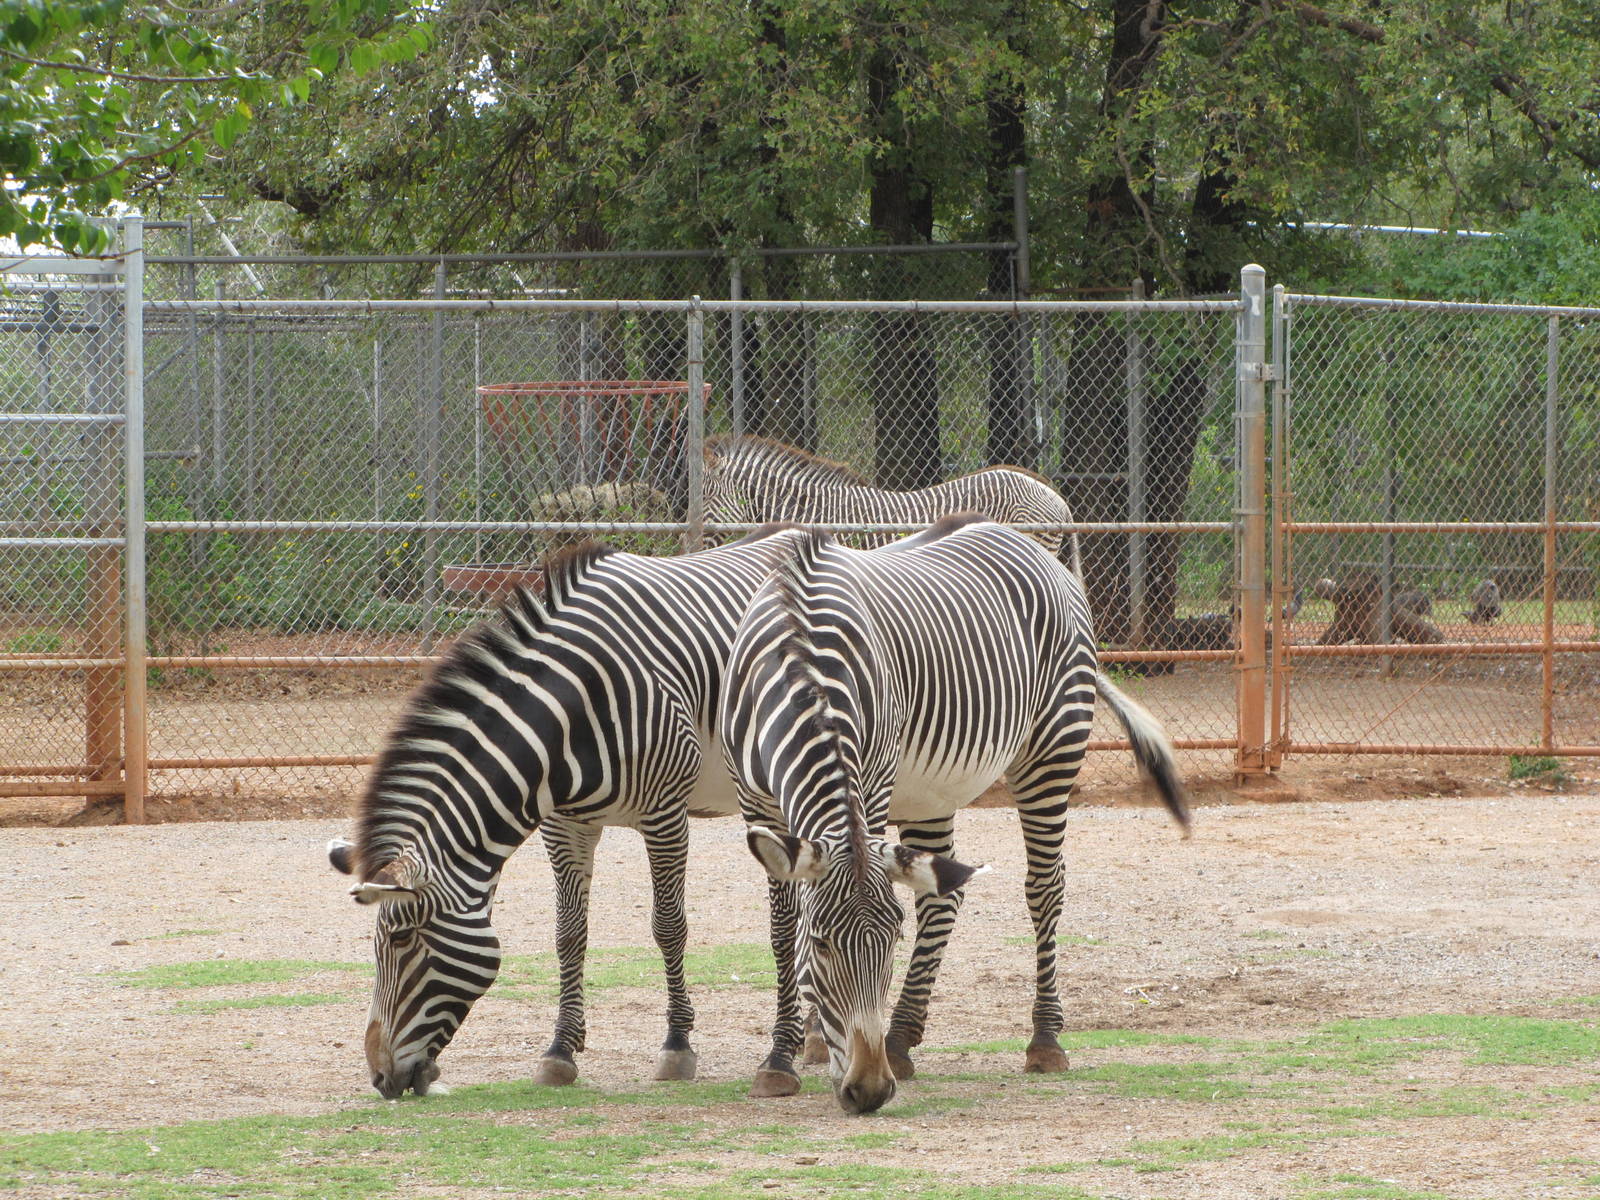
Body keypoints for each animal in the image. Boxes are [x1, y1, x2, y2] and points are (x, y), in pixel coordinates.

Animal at [720, 516, 1189, 1114]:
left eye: (891, 940)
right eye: (821, 943)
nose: (869, 1090)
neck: (800, 659)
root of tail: (1030, 544)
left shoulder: (874, 782)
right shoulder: (752, 798)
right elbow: (782, 928)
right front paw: (782, 1055)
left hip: (1051, 749)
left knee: (1045, 888)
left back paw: (1042, 1040)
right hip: (934, 790)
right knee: (944, 896)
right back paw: (900, 1037)